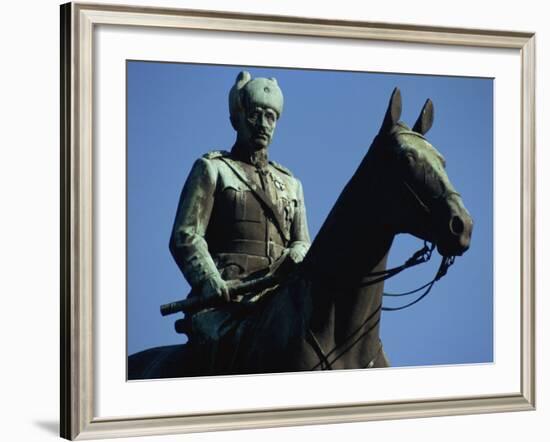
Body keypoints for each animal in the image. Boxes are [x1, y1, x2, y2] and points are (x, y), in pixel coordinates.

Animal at [128, 87, 474, 380]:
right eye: (407, 157)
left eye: (442, 161)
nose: (462, 225)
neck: (337, 335)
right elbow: (186, 234)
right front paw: (217, 287)